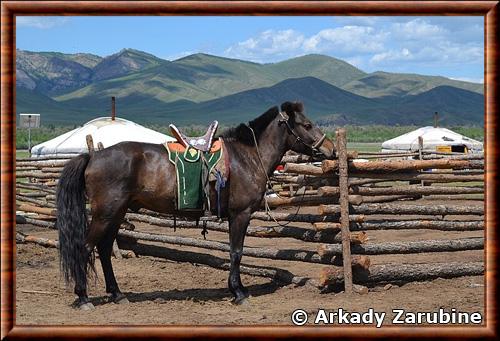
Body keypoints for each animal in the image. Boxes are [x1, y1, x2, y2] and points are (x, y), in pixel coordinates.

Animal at [56, 101, 334, 308]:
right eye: (307, 124)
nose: (330, 149)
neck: (247, 157)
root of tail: (93, 156)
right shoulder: (240, 214)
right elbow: (236, 252)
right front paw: (239, 292)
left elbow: (234, 252)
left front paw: (237, 289)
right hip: (106, 213)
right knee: (85, 247)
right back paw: (83, 297)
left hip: (117, 212)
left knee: (103, 249)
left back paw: (117, 294)